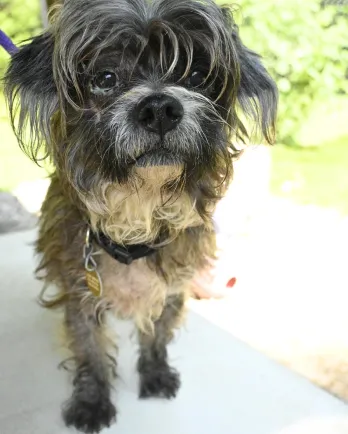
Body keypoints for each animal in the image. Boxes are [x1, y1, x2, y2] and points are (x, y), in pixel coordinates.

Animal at [4, 0, 278, 430]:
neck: (138, 214)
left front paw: (155, 372)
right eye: (105, 78)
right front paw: (92, 401)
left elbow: (157, 336)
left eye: (197, 75)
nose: (160, 108)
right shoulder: (80, 294)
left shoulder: (174, 289)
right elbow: (90, 350)